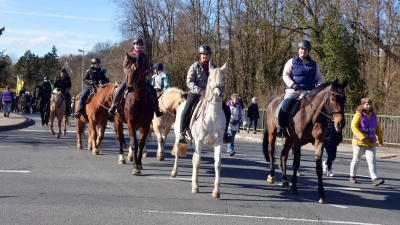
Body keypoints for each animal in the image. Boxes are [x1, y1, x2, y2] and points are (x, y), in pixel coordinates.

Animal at [170, 62, 228, 198]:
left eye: (223, 79)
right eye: (210, 79)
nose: (217, 95)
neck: (213, 116)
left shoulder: (218, 143)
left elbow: (217, 165)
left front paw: (216, 191)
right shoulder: (199, 141)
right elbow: (197, 163)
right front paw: (195, 187)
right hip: (179, 136)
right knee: (178, 152)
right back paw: (175, 172)